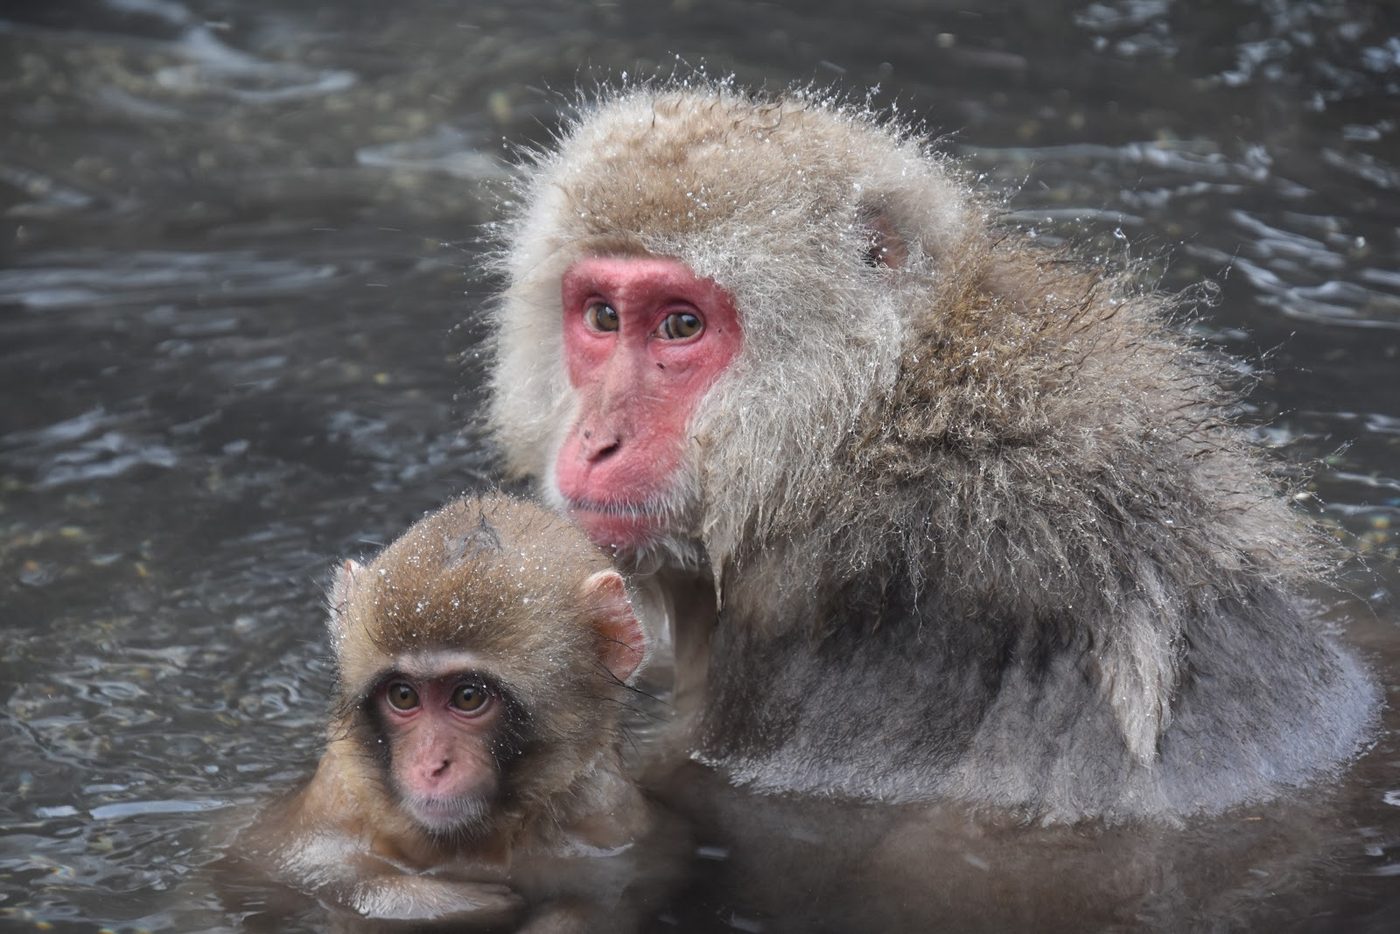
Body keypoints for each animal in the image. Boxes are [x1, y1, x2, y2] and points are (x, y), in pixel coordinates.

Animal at [237, 495, 681, 929]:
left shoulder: (609, 830)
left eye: (468, 697)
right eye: (403, 696)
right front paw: (453, 902)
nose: (431, 765)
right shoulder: (332, 803)